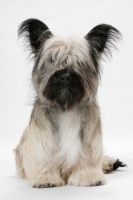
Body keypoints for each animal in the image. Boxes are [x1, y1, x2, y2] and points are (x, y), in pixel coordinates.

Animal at [14, 18, 125, 188]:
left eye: (80, 62)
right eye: (53, 59)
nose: (66, 76)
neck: (66, 106)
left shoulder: (89, 141)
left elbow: (88, 157)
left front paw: (88, 177)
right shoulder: (41, 141)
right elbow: (44, 157)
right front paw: (46, 178)